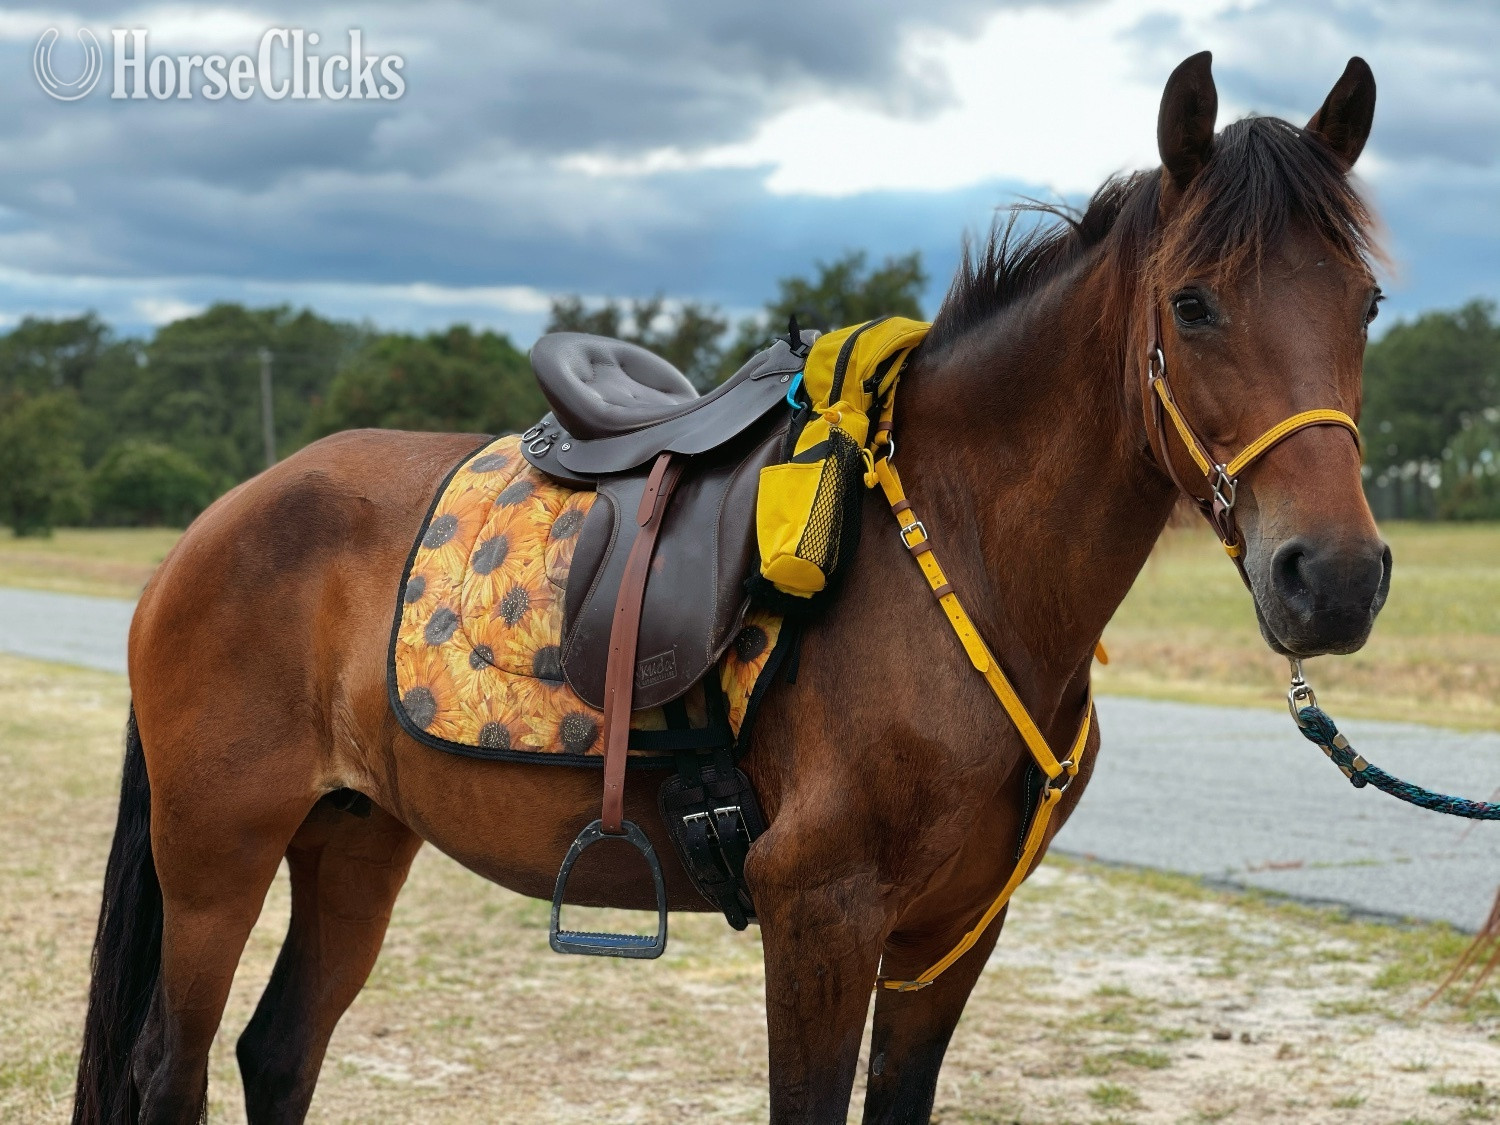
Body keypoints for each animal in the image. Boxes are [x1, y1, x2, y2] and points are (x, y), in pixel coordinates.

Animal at [73, 51, 1390, 1124]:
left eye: (1367, 303)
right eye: (1192, 302)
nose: (1332, 577)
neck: (960, 560)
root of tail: (216, 523)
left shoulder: (953, 932)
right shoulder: (821, 914)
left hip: (355, 838)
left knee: (277, 1054)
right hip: (216, 855)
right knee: (170, 1071)